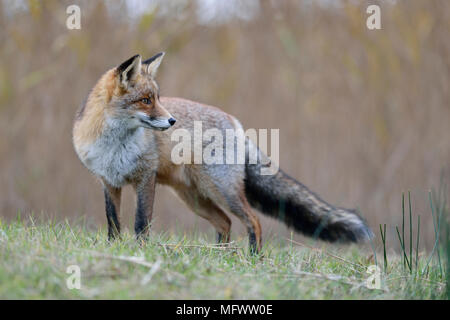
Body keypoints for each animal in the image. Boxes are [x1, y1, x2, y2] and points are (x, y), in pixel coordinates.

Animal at [73, 53, 372, 252]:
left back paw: (253, 259)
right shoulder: (109, 181)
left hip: (221, 189)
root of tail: (234, 122)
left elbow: (141, 221)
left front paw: (141, 251)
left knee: (253, 221)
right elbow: (113, 221)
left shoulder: (145, 178)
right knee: (225, 223)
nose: (171, 121)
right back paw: (220, 256)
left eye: (157, 98)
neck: (113, 146)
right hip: (195, 197)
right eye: (146, 101)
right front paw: (113, 249)